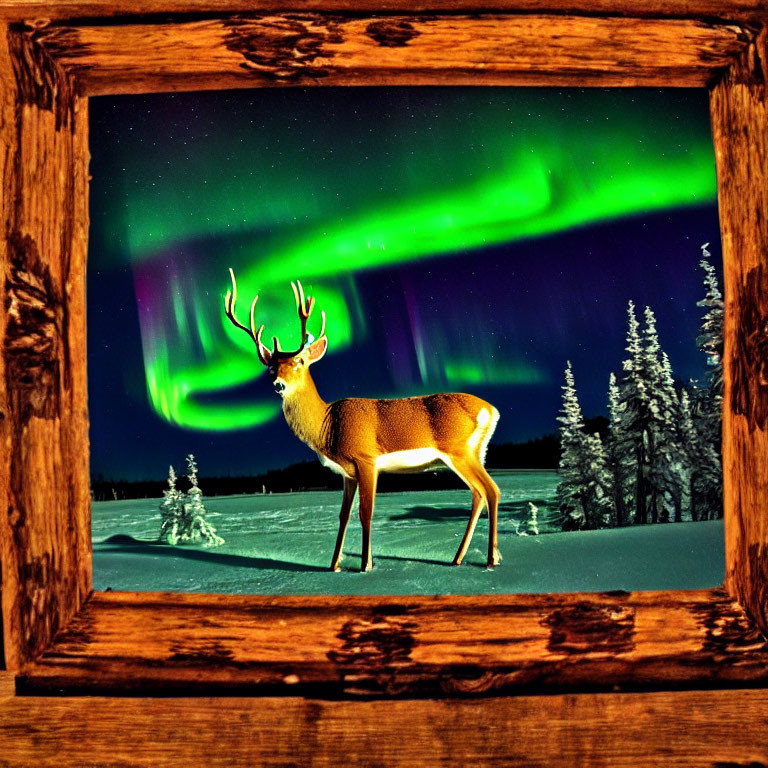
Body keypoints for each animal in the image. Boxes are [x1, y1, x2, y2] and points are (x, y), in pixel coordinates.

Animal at [222, 270, 500, 568]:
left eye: (299, 362)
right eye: (272, 367)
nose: (278, 384)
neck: (327, 425)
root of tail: (490, 410)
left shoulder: (366, 458)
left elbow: (366, 512)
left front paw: (366, 565)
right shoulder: (347, 472)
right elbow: (343, 516)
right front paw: (334, 565)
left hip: (460, 450)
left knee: (490, 490)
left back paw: (490, 559)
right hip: (473, 452)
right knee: (479, 493)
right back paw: (458, 559)